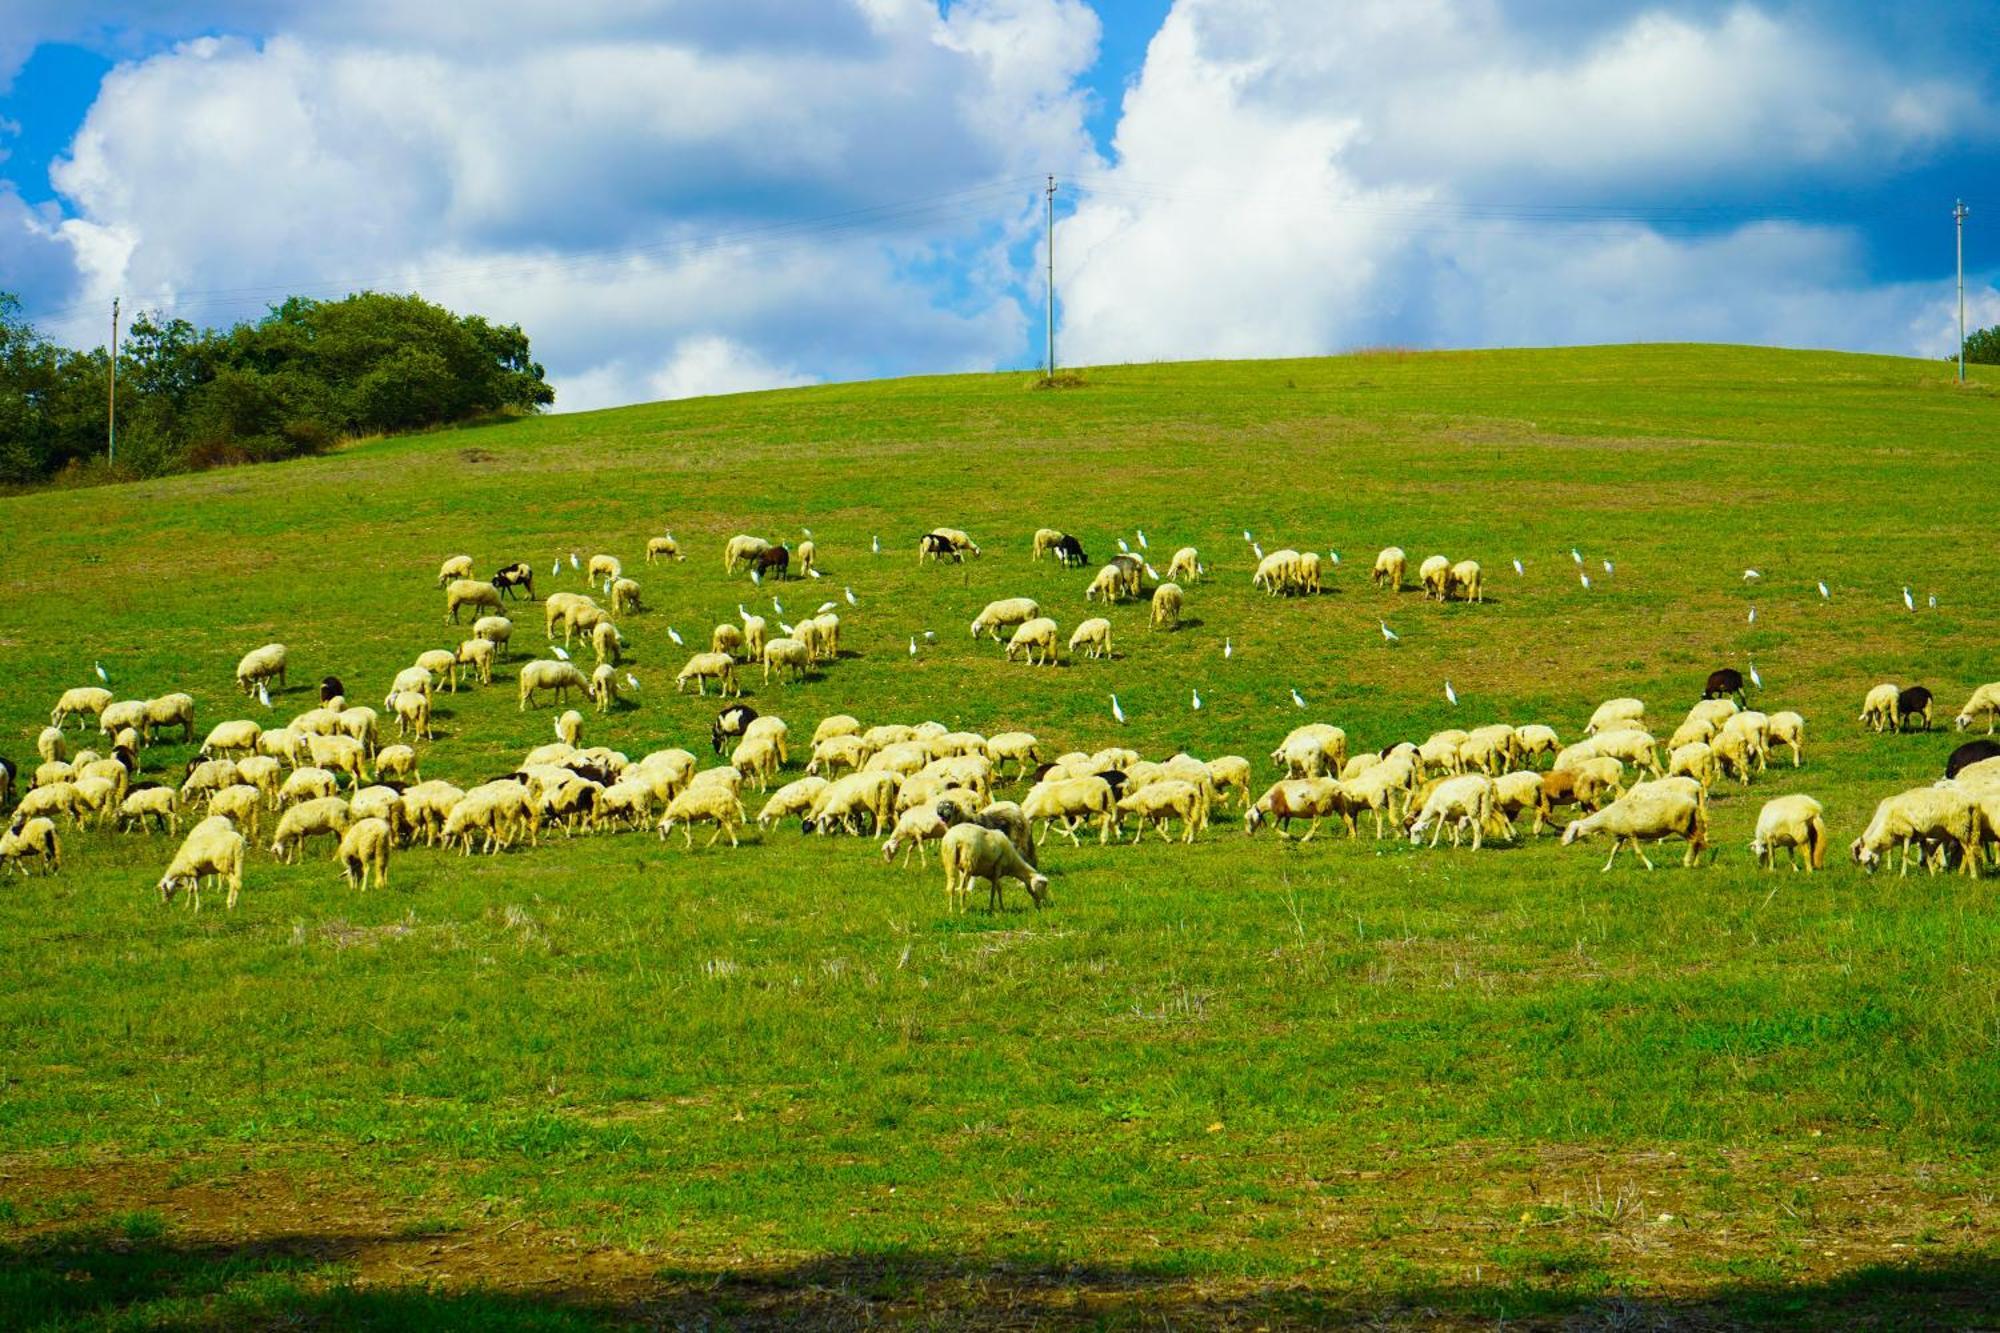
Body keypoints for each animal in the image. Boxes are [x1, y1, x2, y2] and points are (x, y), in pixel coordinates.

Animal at [1560, 772, 1704, 868]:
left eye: (1569, 832)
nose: (1561, 843)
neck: (1607, 818)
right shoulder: (1621, 835)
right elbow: (1613, 851)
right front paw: (1606, 868)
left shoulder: (1631, 833)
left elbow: (1638, 852)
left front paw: (1650, 866)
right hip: (1691, 824)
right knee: (1699, 840)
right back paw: (1695, 863)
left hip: (1682, 826)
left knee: (1694, 841)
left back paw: (1687, 862)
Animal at [1848, 784, 1976, 876]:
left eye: (1865, 862)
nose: (1869, 875)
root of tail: (1970, 802)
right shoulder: (1916, 836)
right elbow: (1924, 854)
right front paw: (1932, 872)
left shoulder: (1905, 833)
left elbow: (1902, 853)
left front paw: (1901, 874)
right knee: (1964, 850)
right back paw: (1960, 871)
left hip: (1958, 827)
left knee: (1967, 850)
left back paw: (1968, 874)